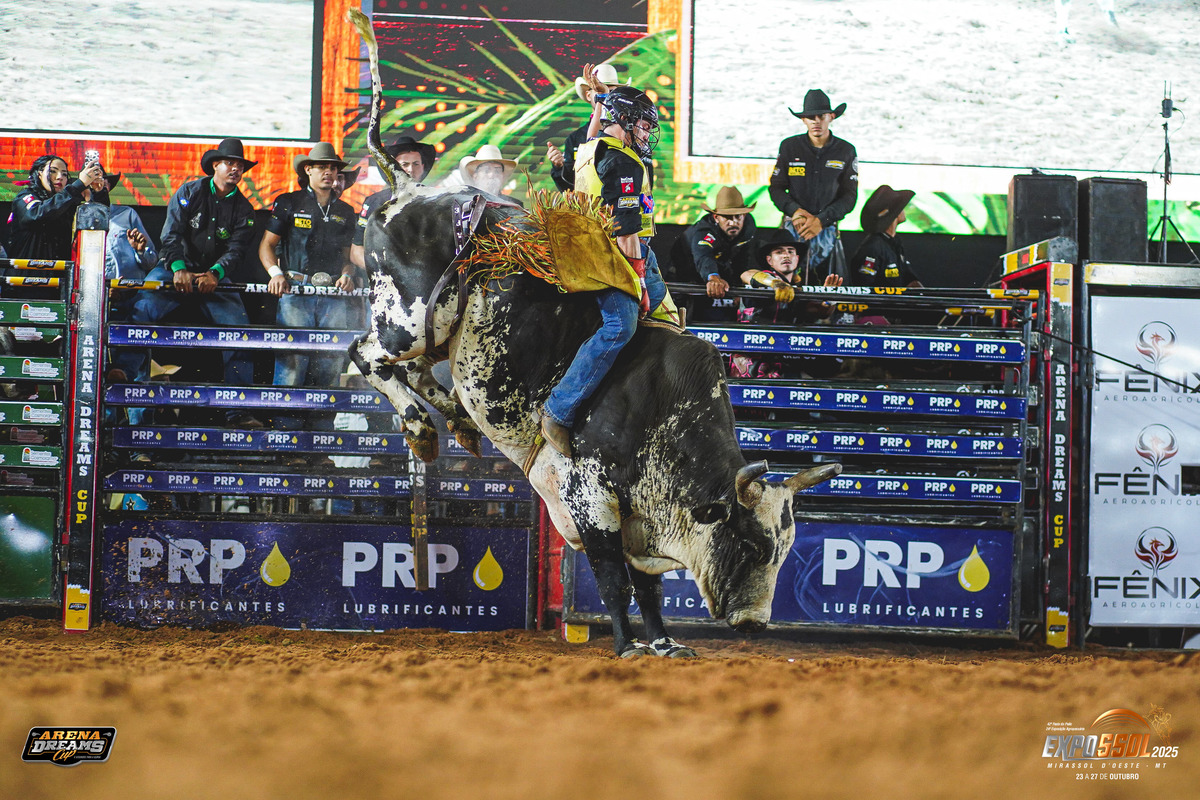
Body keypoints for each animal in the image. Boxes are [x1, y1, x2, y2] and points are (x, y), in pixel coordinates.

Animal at [347, 9, 840, 657]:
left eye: (783, 551)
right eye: (753, 545)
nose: (756, 624)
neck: (661, 416)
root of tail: (407, 191)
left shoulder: (639, 522)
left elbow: (647, 583)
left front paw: (664, 643)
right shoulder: (590, 499)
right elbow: (612, 579)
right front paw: (628, 644)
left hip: (436, 332)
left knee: (413, 372)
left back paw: (454, 421)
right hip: (405, 319)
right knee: (367, 356)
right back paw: (421, 427)